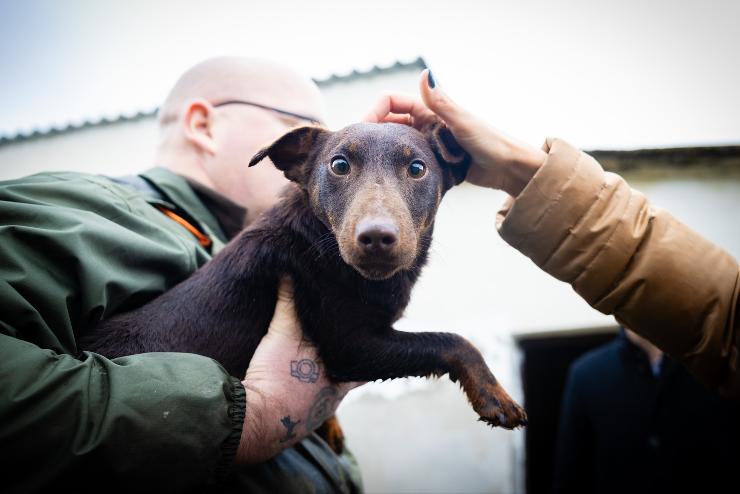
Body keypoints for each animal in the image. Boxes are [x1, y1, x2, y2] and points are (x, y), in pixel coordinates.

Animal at [79, 121, 528, 454]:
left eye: (417, 168)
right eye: (339, 165)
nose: (376, 237)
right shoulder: (352, 346)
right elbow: (453, 340)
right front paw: (496, 396)